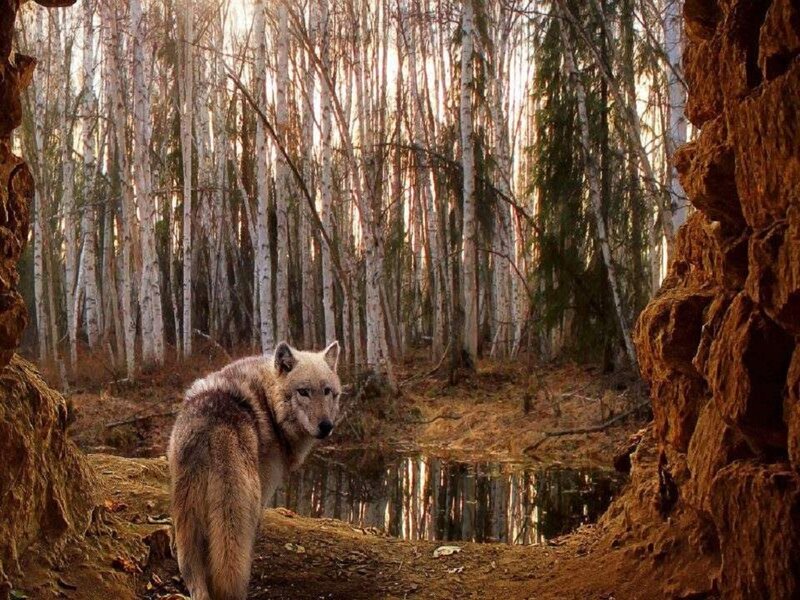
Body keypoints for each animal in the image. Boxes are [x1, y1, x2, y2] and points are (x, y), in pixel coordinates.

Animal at [167, 340, 341, 600]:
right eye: (303, 392)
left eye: (327, 391)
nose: (326, 426)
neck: (269, 403)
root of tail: (214, 426)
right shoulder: (264, 493)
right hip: (243, 507)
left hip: (187, 517)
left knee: (195, 576)